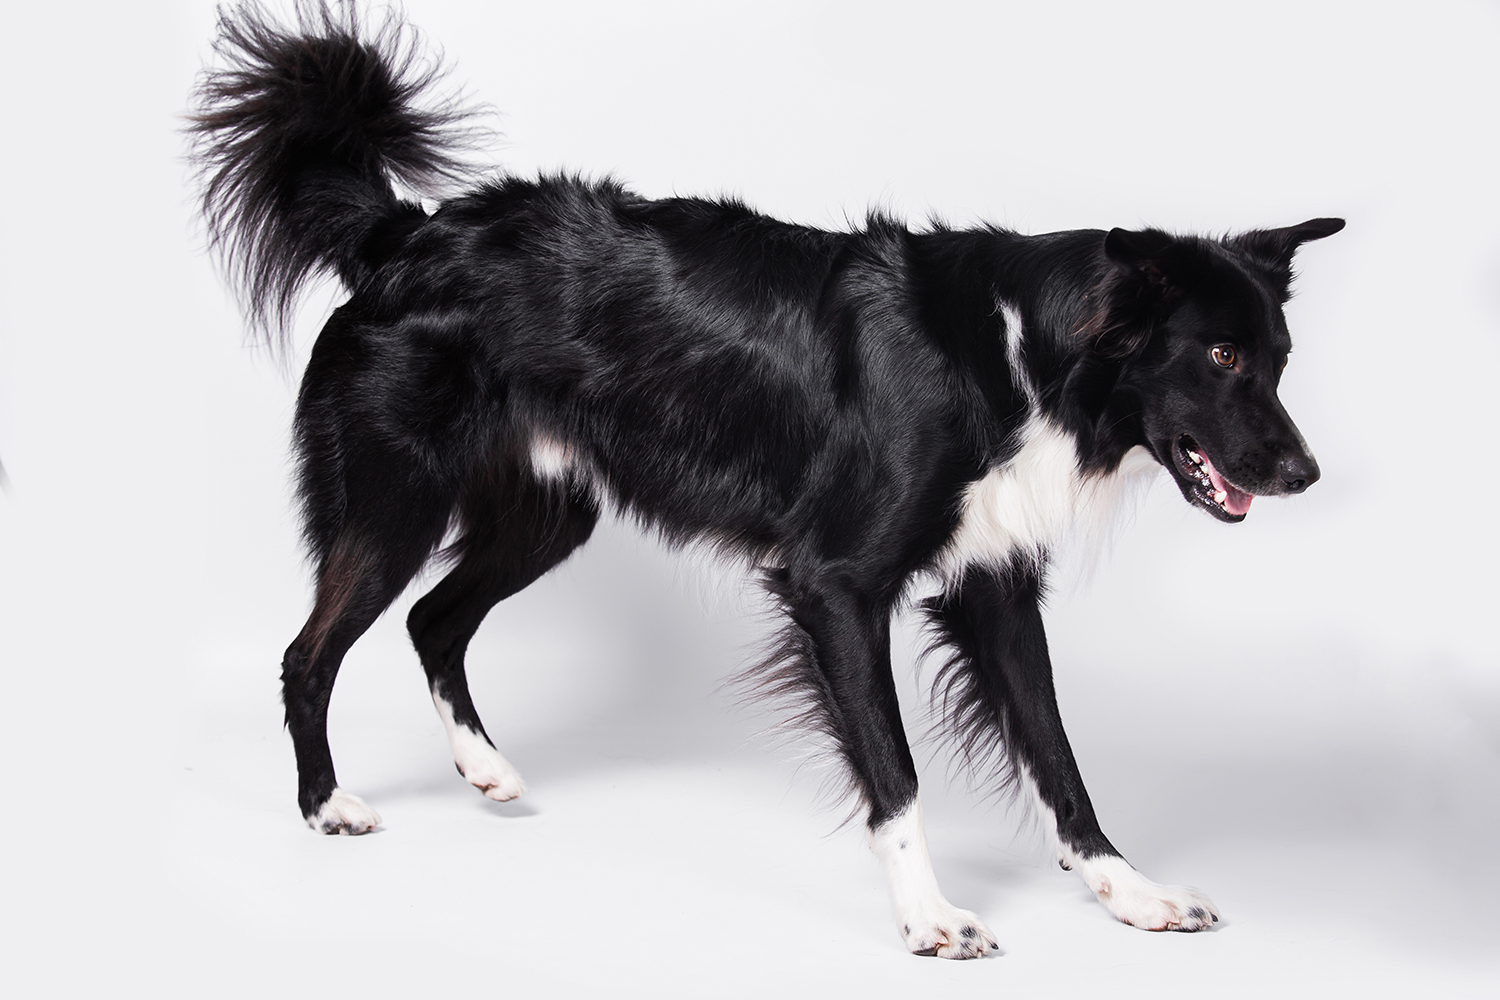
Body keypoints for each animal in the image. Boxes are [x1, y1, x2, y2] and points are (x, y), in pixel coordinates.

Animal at [190, 0, 1350, 953]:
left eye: (1279, 358)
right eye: (1221, 357)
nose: (1304, 472)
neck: (1022, 355)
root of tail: (407, 233)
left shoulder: (998, 585)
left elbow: (1061, 756)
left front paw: (1129, 890)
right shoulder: (835, 583)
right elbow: (897, 771)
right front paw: (928, 916)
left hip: (549, 514)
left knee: (435, 619)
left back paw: (485, 769)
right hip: (397, 499)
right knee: (309, 651)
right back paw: (326, 804)